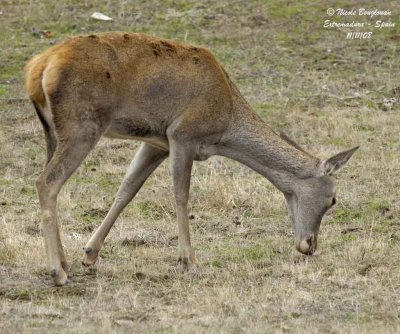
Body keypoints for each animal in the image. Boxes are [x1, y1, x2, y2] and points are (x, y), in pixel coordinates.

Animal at [25, 32, 360, 286]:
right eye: (333, 199)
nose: (309, 246)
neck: (226, 122)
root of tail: (37, 69)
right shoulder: (182, 134)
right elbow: (181, 195)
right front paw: (189, 260)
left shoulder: (157, 142)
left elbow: (127, 190)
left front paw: (90, 254)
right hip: (83, 125)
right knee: (46, 182)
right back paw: (57, 272)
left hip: (53, 132)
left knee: (50, 182)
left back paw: (65, 263)